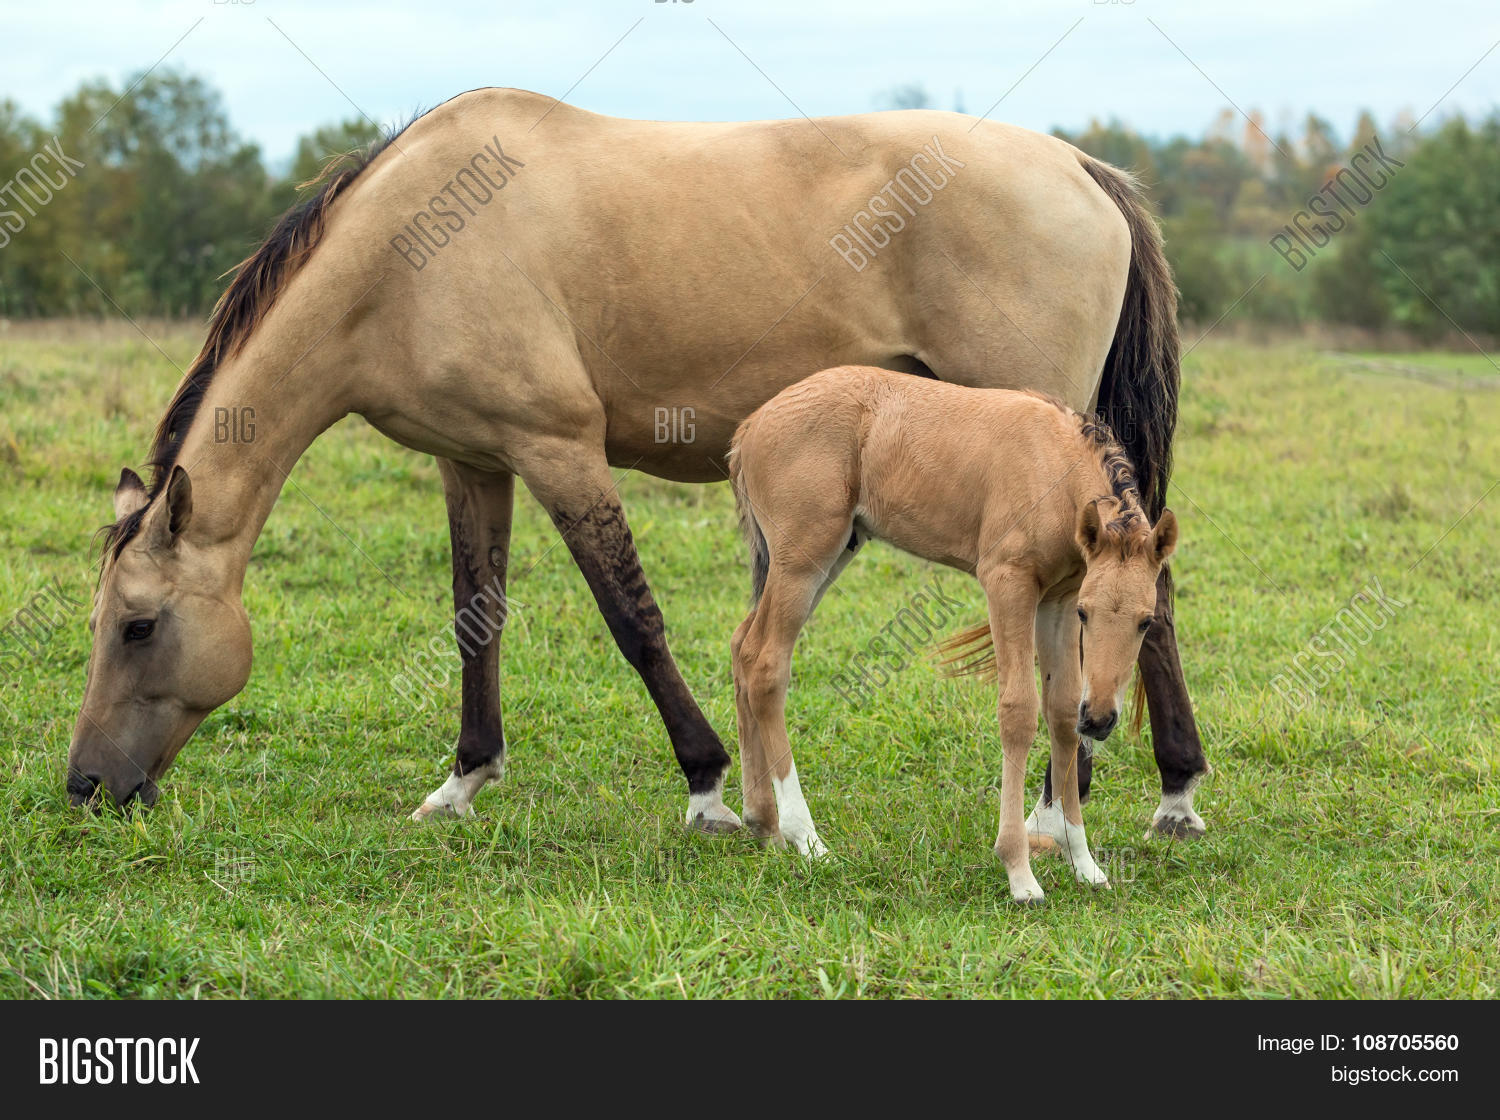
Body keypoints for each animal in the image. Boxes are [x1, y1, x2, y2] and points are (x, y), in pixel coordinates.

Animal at [67, 88, 1207, 841]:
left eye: (138, 626)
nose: (84, 784)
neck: (408, 250)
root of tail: (1080, 168)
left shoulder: (557, 448)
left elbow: (632, 617)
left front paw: (707, 784)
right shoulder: (472, 463)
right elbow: (475, 615)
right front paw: (465, 777)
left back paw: (1100, 801)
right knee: (1143, 586)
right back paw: (1161, 787)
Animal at [728, 367, 1178, 901]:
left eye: (1145, 621)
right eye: (1090, 615)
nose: (1103, 719)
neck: (1055, 466)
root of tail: (751, 425)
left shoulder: (1057, 600)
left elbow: (1062, 713)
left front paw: (1083, 862)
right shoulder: (1009, 584)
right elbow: (1018, 712)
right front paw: (1019, 872)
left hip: (830, 554)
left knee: (743, 647)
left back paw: (763, 822)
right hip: (803, 561)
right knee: (766, 664)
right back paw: (807, 837)